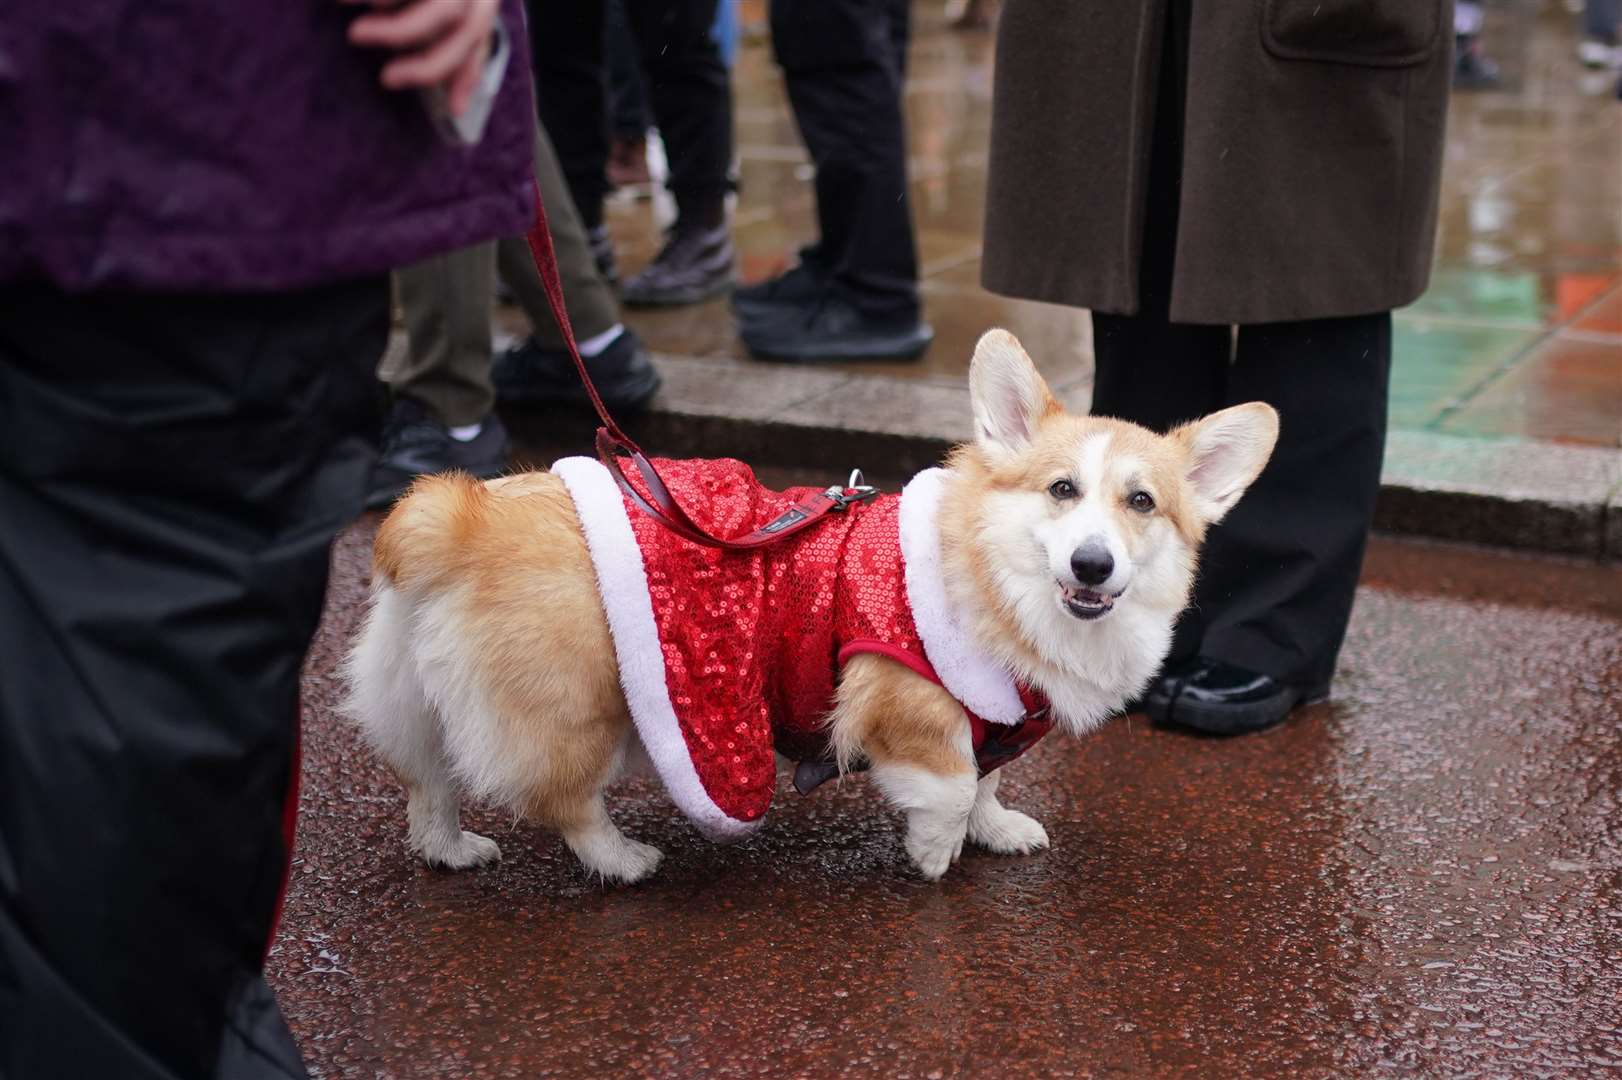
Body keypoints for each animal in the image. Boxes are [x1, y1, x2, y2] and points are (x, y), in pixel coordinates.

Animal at [345, 330, 1278, 882]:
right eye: (1061, 490)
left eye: (1142, 503)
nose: (1093, 563)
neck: (996, 583)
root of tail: (456, 514)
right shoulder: (905, 696)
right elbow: (949, 785)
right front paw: (935, 856)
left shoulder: (992, 716)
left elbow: (986, 782)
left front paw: (998, 830)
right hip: (585, 712)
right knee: (563, 801)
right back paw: (624, 859)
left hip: (417, 696)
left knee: (427, 780)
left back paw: (450, 849)